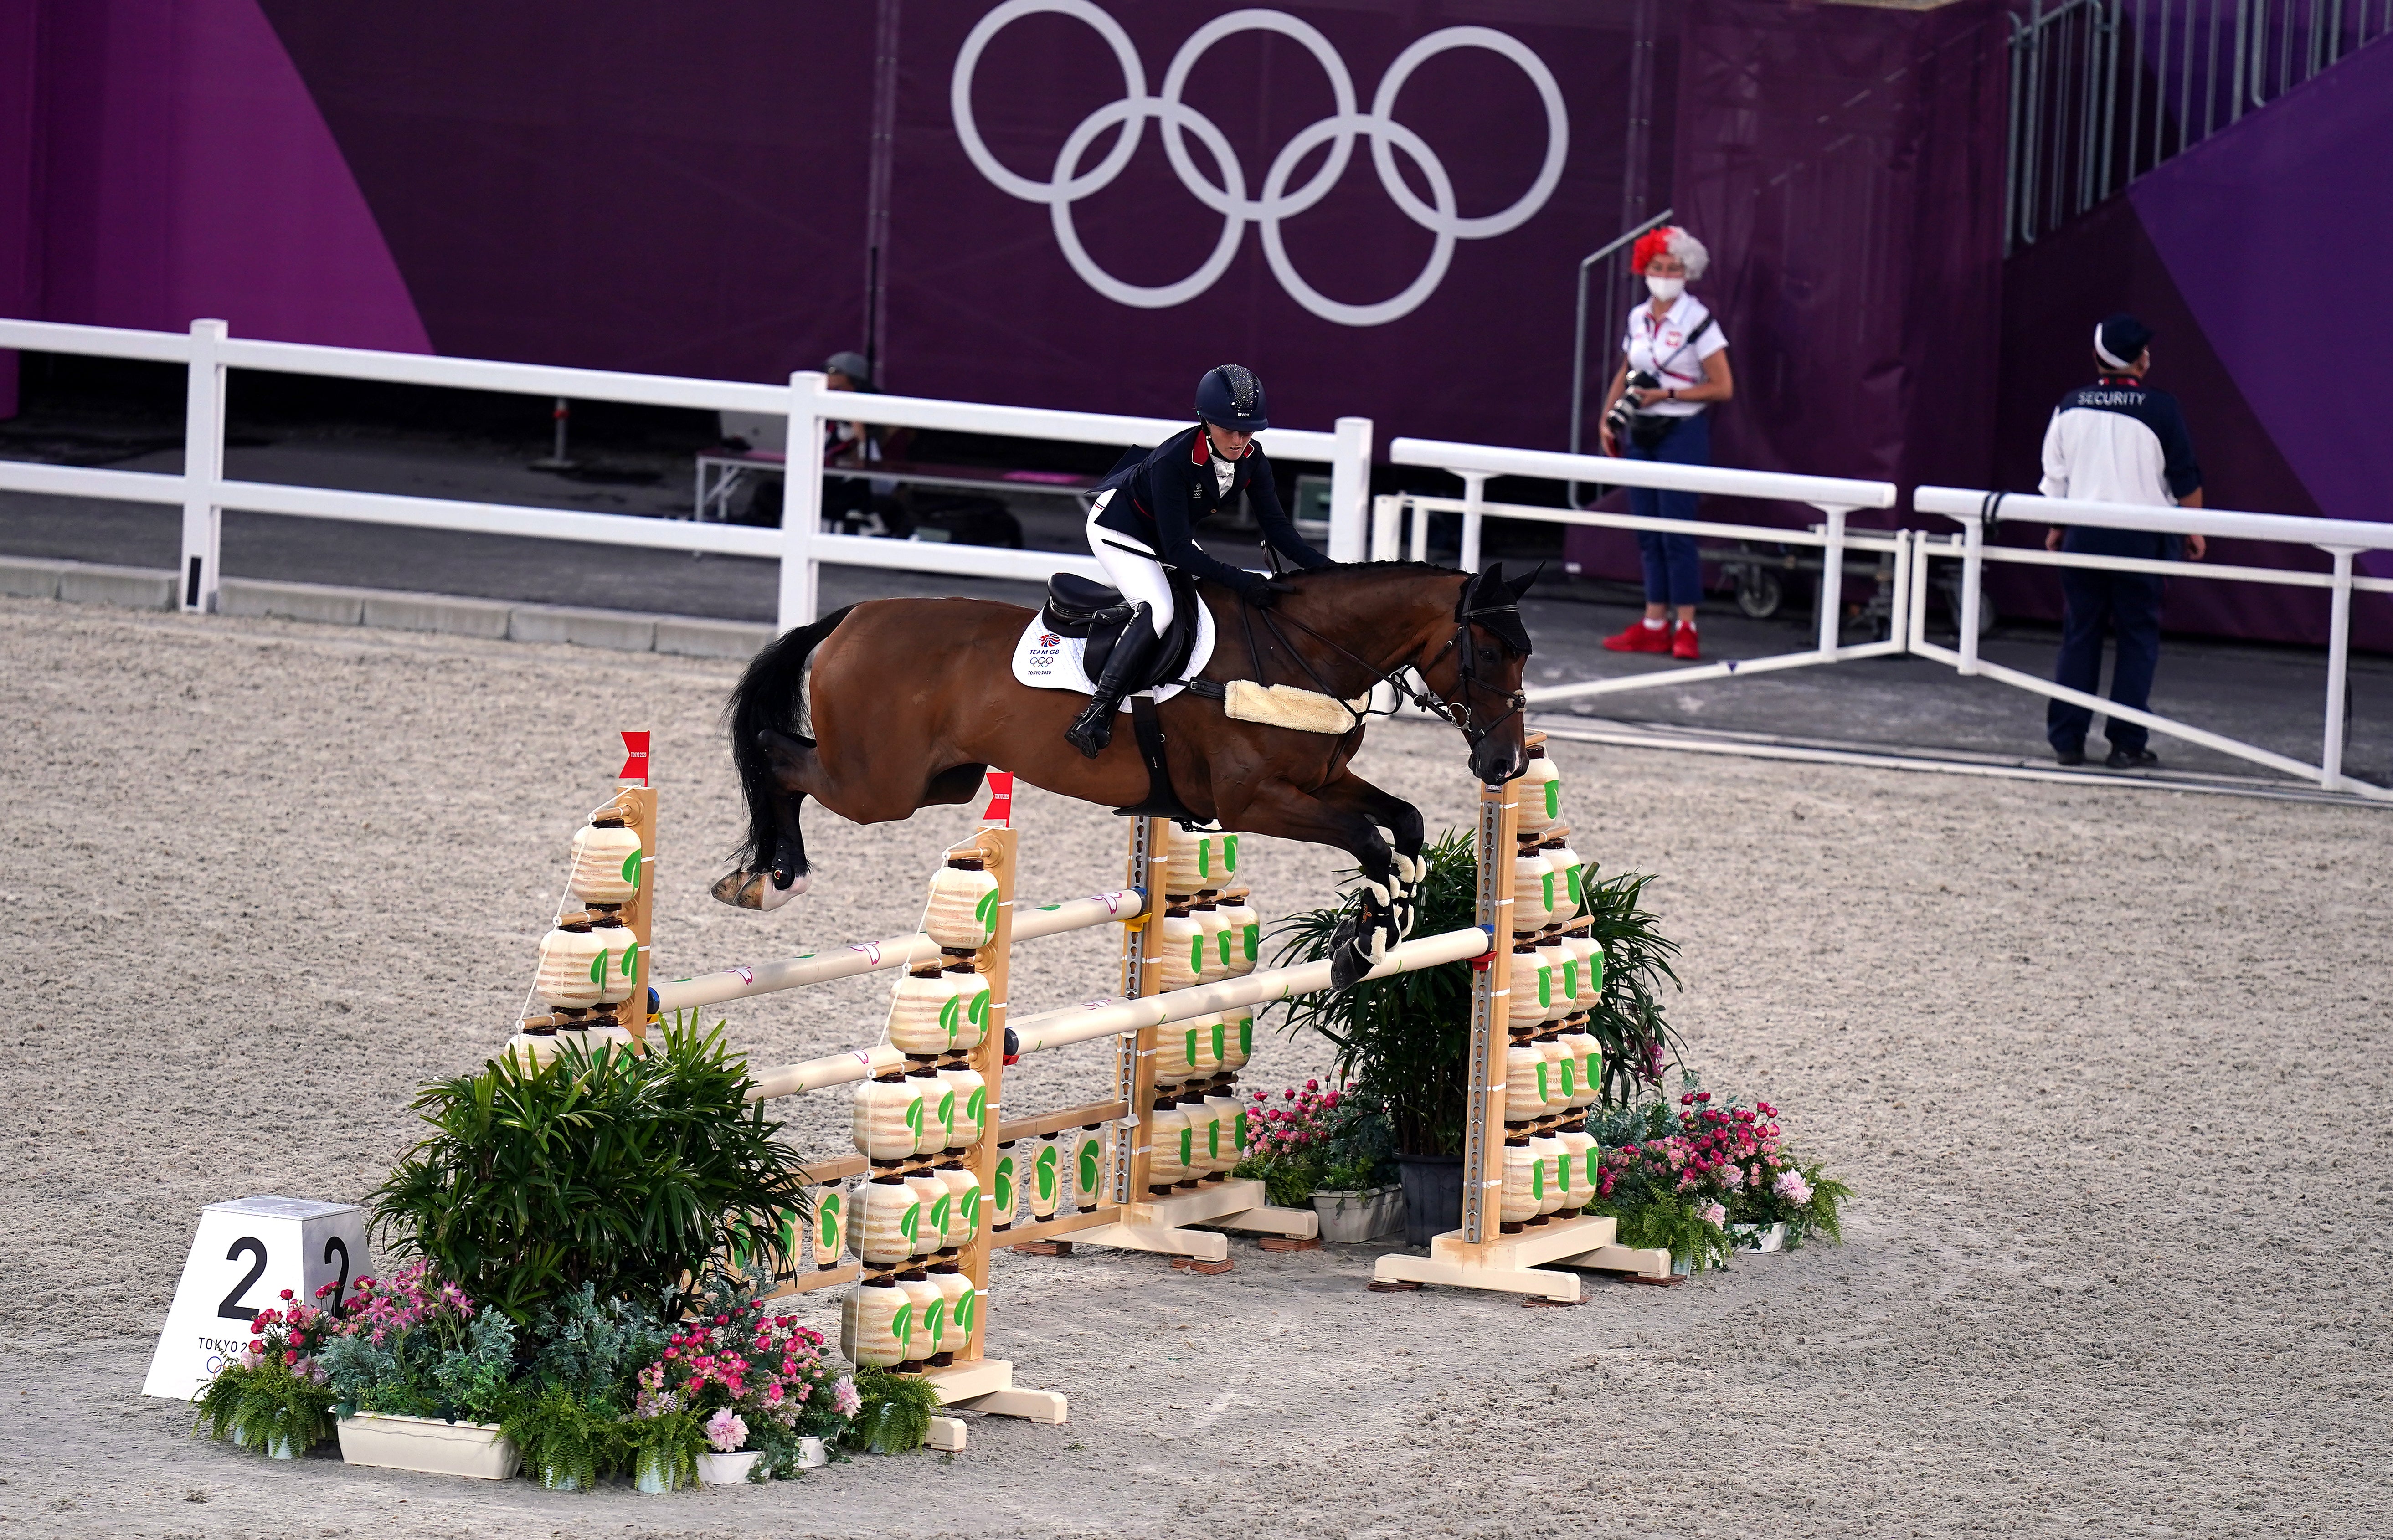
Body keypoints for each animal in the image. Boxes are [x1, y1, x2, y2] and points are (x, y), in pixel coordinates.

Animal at [713, 562, 1531, 985]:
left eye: (1523, 654)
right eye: (1491, 652)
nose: (1505, 763)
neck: (1303, 653)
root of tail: (854, 616)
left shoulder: (1320, 783)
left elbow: (1403, 826)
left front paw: (1382, 930)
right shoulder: (1254, 802)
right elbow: (1367, 839)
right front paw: (1359, 948)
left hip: (944, 779)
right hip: (877, 786)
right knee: (775, 753)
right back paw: (770, 879)